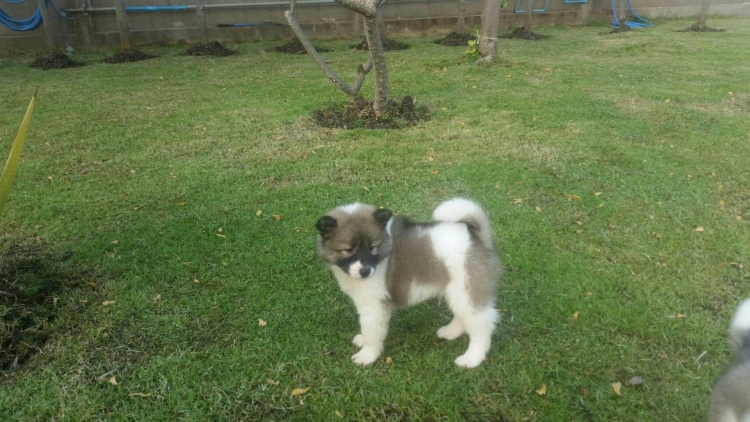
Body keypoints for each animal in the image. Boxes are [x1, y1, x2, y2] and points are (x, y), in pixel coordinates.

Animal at [315, 198, 501, 368]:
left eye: (372, 247)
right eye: (348, 249)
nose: (365, 271)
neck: (383, 254)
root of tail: (479, 239)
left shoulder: (374, 305)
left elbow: (371, 331)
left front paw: (367, 355)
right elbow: (368, 329)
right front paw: (363, 341)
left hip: (468, 288)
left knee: (481, 327)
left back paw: (471, 358)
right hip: (457, 290)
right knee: (463, 315)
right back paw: (450, 332)